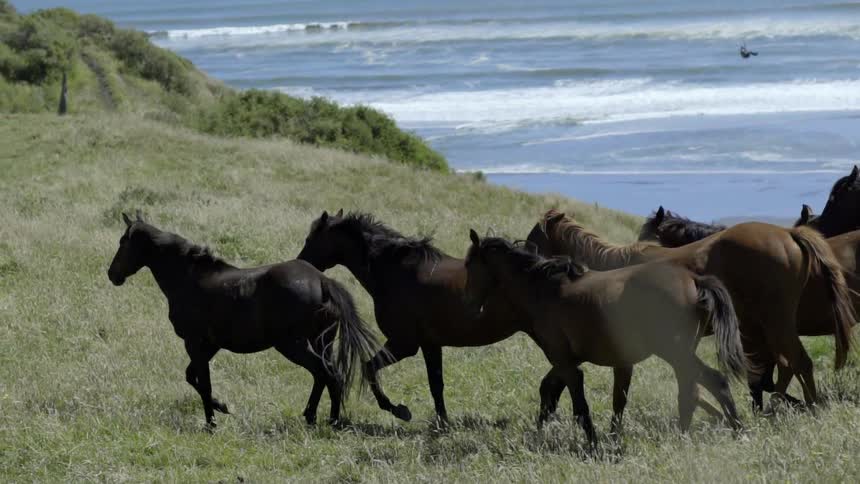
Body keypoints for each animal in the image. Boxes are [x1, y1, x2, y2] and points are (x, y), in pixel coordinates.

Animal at [107, 212, 380, 428]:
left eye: (122, 242)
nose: (112, 274)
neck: (189, 278)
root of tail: (323, 281)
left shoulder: (194, 342)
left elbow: (203, 382)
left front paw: (211, 423)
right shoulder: (210, 345)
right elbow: (192, 377)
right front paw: (222, 407)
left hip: (293, 345)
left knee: (328, 375)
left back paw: (327, 420)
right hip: (322, 342)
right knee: (327, 376)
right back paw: (319, 418)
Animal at [297, 210, 531, 424]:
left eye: (310, 239)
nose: (300, 263)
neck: (396, 272)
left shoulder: (403, 344)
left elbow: (369, 367)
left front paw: (398, 409)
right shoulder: (430, 344)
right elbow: (436, 384)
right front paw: (442, 422)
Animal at [463, 231, 746, 441]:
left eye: (469, 265)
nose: (470, 306)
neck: (545, 289)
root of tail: (694, 280)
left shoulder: (566, 363)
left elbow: (579, 405)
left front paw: (593, 444)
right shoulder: (568, 360)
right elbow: (550, 392)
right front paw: (540, 434)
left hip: (675, 351)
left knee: (715, 381)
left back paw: (738, 431)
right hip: (681, 354)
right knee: (691, 391)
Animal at [527, 209, 855, 415]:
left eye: (533, 241)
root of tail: (789, 234)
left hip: (775, 322)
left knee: (799, 363)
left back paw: (807, 408)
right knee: (789, 366)